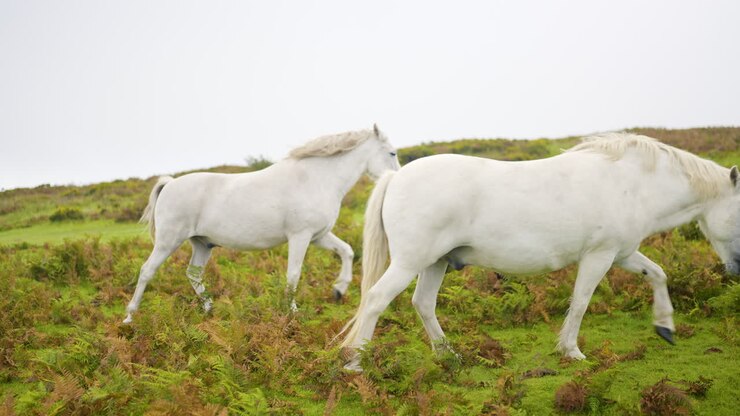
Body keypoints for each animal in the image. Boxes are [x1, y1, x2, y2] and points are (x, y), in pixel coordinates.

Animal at [123, 125, 400, 323]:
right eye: (392, 152)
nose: (397, 179)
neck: (316, 179)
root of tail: (170, 183)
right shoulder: (300, 236)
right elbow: (293, 274)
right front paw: (292, 312)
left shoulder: (319, 236)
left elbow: (347, 251)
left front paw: (339, 290)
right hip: (168, 241)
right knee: (147, 271)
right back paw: (129, 316)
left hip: (202, 244)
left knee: (194, 275)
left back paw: (210, 309)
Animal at [339, 133, 739, 371]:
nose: (736, 268)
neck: (632, 182)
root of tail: (396, 178)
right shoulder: (599, 256)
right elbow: (580, 302)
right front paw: (571, 351)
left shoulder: (623, 254)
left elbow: (658, 275)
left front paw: (665, 327)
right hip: (410, 263)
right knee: (375, 301)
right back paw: (356, 363)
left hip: (434, 263)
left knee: (422, 304)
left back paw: (447, 355)